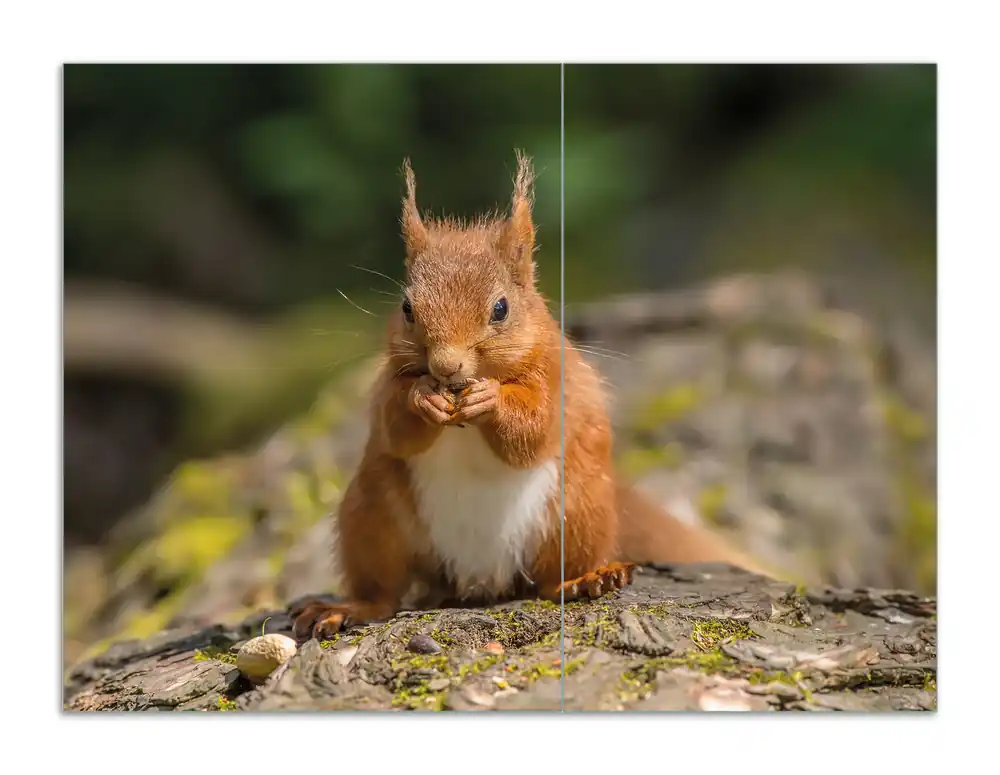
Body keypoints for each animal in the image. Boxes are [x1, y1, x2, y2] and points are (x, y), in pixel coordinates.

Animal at [290, 152, 767, 642]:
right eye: (407, 309)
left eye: (500, 309)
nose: (446, 367)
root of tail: (478, 579)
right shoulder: (388, 382)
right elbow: (395, 426)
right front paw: (424, 398)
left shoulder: (555, 378)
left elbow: (534, 429)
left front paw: (491, 400)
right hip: (371, 514)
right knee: (383, 590)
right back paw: (347, 608)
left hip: (576, 510)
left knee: (549, 582)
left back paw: (586, 580)